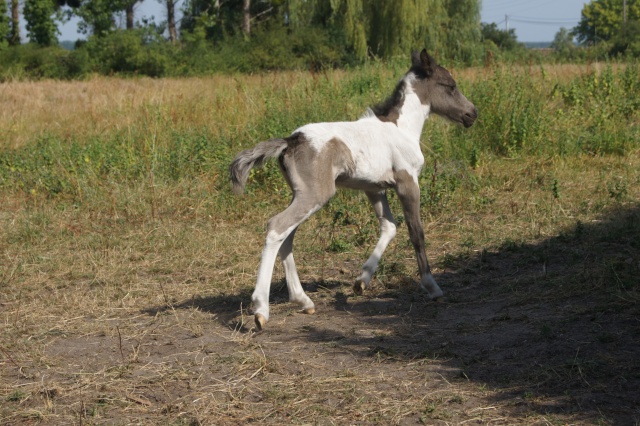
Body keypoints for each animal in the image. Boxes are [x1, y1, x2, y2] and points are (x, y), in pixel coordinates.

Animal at [230, 50, 476, 330]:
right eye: (450, 86)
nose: (472, 113)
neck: (401, 129)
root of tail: (291, 141)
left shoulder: (374, 188)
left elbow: (389, 227)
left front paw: (361, 281)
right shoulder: (408, 183)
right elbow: (416, 232)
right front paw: (432, 286)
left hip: (301, 195)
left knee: (287, 236)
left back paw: (303, 300)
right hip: (315, 195)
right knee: (276, 227)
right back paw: (261, 309)